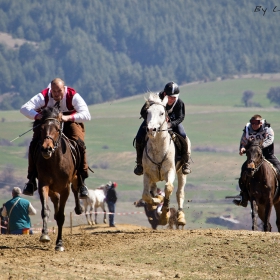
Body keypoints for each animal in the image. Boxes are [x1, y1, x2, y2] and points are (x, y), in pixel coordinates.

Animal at [33, 107, 82, 252]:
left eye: (57, 128)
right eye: (41, 128)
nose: (46, 149)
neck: (54, 161)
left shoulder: (65, 188)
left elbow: (61, 216)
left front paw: (59, 243)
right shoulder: (43, 184)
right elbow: (45, 210)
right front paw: (44, 235)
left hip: (74, 178)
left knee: (76, 188)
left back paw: (79, 207)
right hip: (52, 189)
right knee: (55, 199)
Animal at [142, 93, 188, 228]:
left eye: (162, 113)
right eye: (147, 112)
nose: (151, 129)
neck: (158, 149)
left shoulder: (170, 171)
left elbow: (168, 188)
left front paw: (164, 216)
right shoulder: (147, 174)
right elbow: (146, 195)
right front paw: (156, 201)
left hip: (181, 173)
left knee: (179, 193)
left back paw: (180, 217)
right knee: (152, 189)